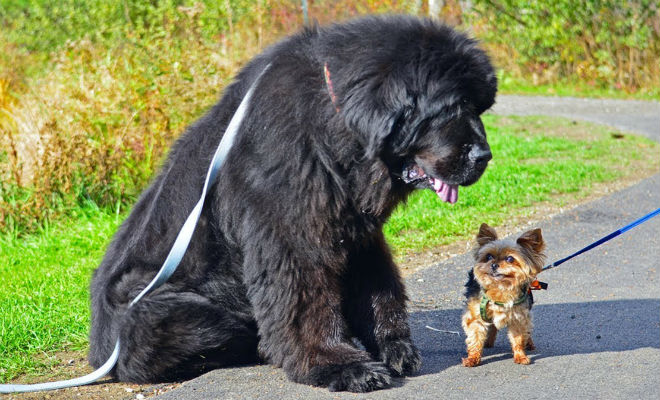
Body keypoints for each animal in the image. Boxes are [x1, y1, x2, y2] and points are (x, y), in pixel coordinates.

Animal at [87, 14, 496, 390]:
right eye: (453, 107)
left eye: (478, 108)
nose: (484, 156)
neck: (336, 126)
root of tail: (99, 350)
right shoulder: (292, 235)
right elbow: (304, 304)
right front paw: (340, 364)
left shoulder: (356, 231)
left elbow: (378, 287)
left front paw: (394, 348)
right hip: (154, 310)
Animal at [458, 223, 548, 368]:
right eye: (488, 256)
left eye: (510, 259)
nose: (494, 264)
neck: (500, 288)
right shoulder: (475, 316)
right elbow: (475, 338)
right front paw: (473, 358)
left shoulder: (518, 317)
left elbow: (518, 338)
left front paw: (520, 356)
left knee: (527, 330)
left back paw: (529, 343)